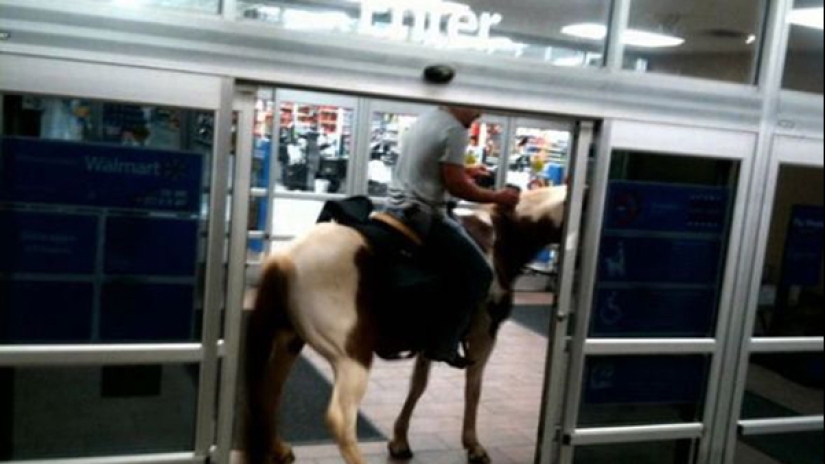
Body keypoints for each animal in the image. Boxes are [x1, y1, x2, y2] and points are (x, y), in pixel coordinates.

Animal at [243, 186, 568, 464]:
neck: (499, 238)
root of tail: (285, 259)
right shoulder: (483, 336)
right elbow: (473, 390)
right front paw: (473, 446)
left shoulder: (434, 341)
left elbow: (418, 386)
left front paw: (399, 440)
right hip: (351, 357)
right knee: (341, 420)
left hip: (290, 339)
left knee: (269, 392)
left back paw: (279, 448)